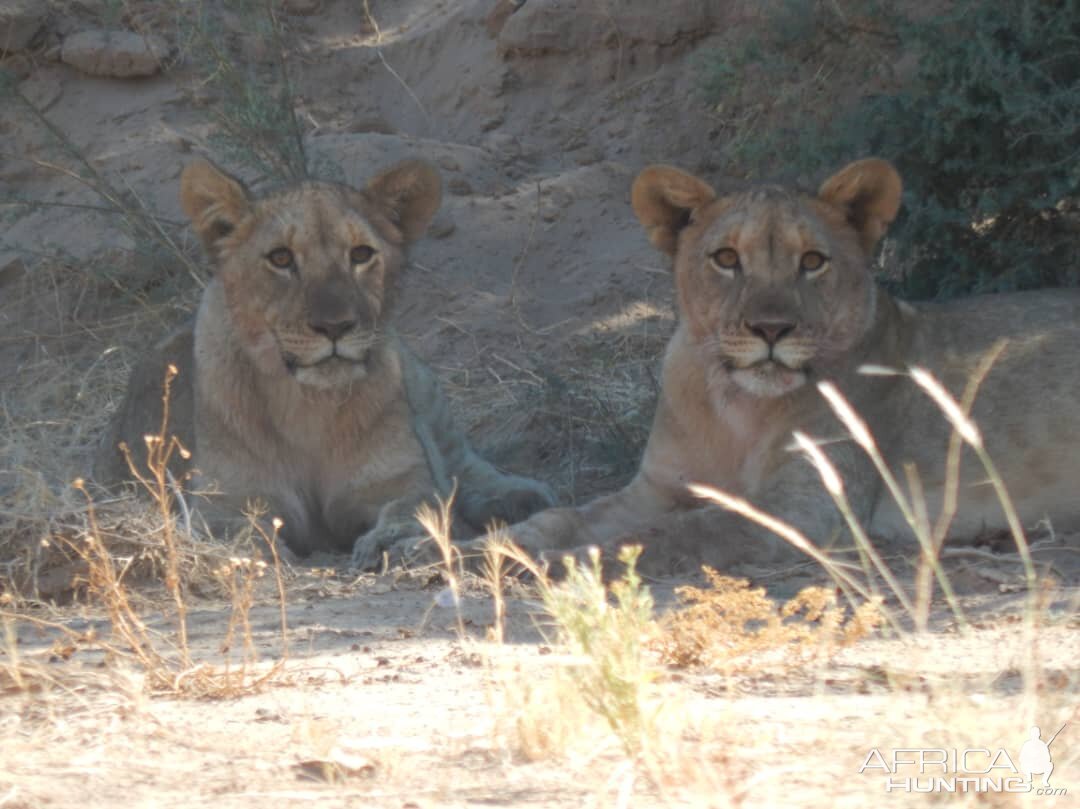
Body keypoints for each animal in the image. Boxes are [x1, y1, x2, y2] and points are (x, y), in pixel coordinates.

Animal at [97, 156, 557, 561]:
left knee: (463, 459)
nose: (335, 326)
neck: (309, 408)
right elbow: (240, 533)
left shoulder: (399, 483)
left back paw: (519, 496)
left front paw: (389, 541)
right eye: (281, 258)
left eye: (361, 254)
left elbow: (418, 508)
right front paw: (253, 555)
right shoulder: (224, 503)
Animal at [488, 159, 1080, 574]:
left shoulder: (808, 509)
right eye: (726, 258)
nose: (771, 330)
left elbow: (686, 530)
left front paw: (564, 564)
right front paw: (498, 546)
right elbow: (569, 515)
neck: (734, 408)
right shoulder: (655, 488)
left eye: (812, 261)